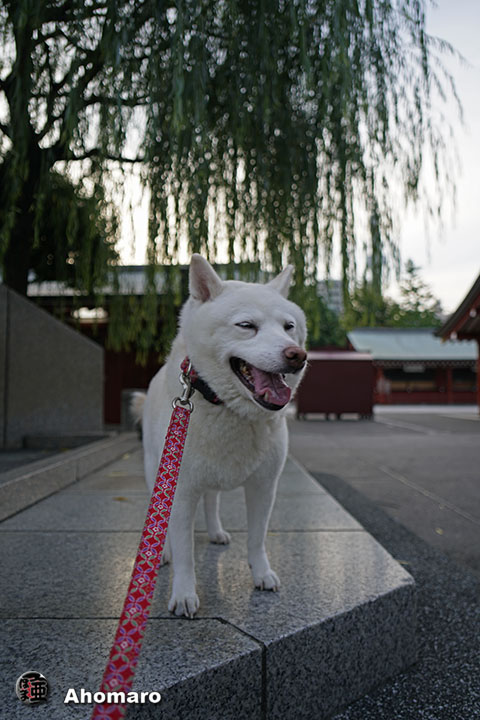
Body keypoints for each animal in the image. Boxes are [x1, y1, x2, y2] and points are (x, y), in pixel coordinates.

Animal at [132, 254, 307, 617]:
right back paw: (163, 552)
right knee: (162, 520)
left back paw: (216, 532)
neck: (229, 411)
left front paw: (262, 573)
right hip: (157, 469)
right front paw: (184, 594)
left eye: (289, 327)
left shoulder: (264, 486)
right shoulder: (182, 488)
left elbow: (257, 538)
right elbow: (184, 549)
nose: (297, 355)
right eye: (246, 325)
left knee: (211, 501)